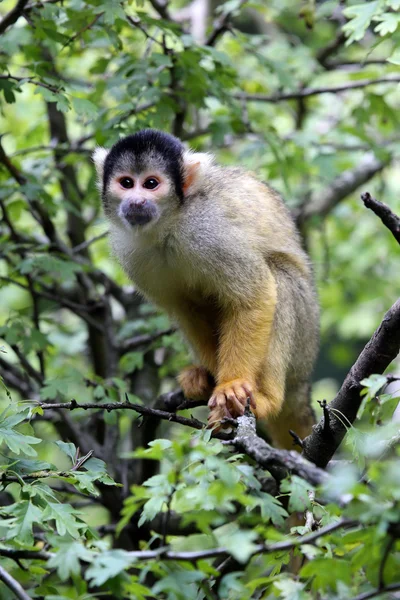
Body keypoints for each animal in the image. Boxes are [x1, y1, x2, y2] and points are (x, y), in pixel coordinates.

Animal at [93, 129, 318, 448]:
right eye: (126, 183)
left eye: (151, 184)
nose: (136, 201)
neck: (169, 226)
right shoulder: (133, 255)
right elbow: (187, 309)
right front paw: (213, 380)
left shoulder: (208, 231)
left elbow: (255, 295)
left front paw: (230, 385)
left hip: (303, 343)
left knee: (280, 275)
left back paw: (269, 398)